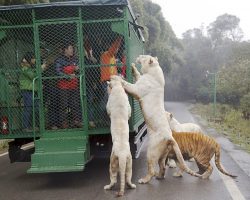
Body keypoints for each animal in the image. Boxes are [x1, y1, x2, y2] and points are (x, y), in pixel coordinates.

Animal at [112, 55, 202, 184]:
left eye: (144, 57)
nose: (139, 56)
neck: (153, 70)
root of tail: (170, 137)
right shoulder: (141, 79)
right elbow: (138, 74)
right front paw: (134, 68)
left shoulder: (138, 89)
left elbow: (129, 85)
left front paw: (118, 78)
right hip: (163, 153)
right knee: (162, 166)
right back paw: (159, 176)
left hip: (151, 151)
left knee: (151, 169)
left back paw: (143, 180)